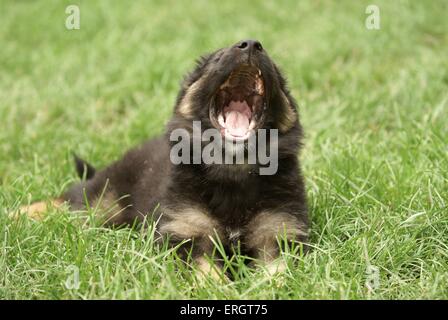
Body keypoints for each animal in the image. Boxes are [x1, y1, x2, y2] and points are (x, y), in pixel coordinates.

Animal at [18, 39, 312, 276]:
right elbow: (207, 272)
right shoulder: (188, 233)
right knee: (68, 200)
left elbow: (277, 274)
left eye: (276, 71)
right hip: (104, 199)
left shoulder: (277, 235)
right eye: (216, 59)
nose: (251, 44)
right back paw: (19, 213)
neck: (233, 168)